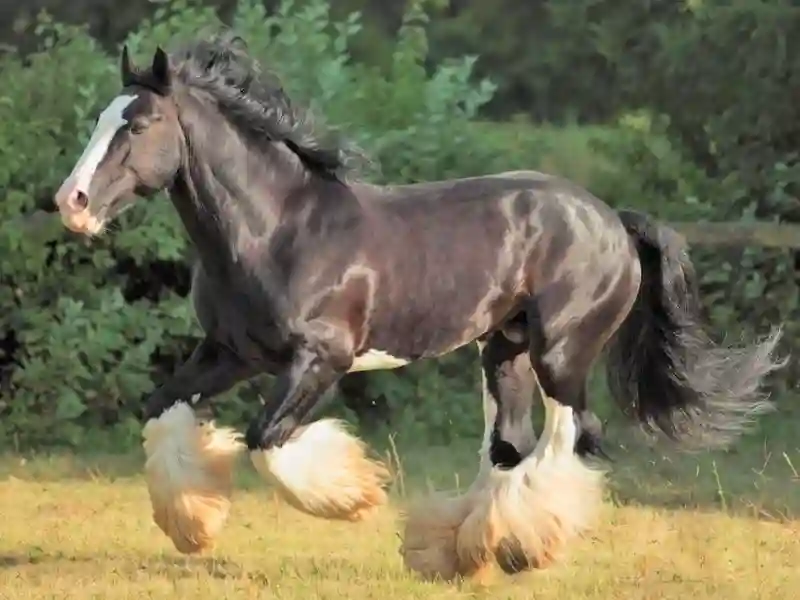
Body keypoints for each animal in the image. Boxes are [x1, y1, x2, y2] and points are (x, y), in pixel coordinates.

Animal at [53, 34, 784, 580]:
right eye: (100, 120)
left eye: (139, 124)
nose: (72, 203)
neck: (276, 229)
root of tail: (612, 220)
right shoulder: (231, 354)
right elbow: (163, 410)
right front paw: (193, 526)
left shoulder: (321, 360)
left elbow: (266, 441)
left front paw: (354, 497)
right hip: (504, 350)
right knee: (509, 447)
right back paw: (464, 552)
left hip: (562, 353)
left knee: (571, 436)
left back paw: (521, 549)